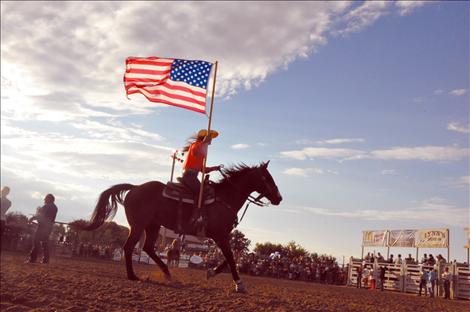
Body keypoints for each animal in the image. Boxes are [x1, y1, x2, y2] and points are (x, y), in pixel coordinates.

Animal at [80, 162, 280, 292]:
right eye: (266, 177)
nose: (279, 198)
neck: (224, 199)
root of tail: (135, 187)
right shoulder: (220, 235)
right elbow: (230, 258)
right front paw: (239, 284)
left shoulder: (221, 236)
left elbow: (230, 258)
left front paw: (211, 272)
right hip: (138, 225)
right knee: (129, 247)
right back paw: (133, 276)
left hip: (152, 225)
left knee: (148, 247)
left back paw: (167, 273)